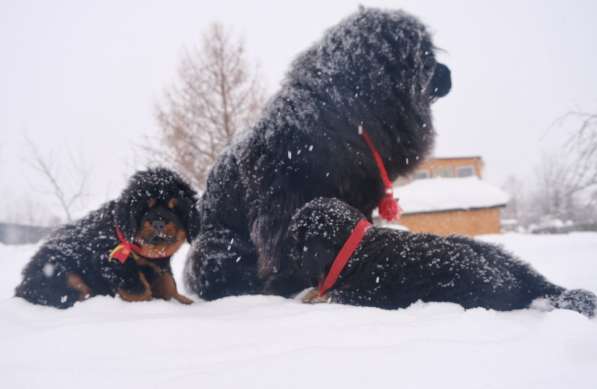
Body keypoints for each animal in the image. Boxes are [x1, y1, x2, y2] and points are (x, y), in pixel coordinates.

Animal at [14, 167, 199, 310]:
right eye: (145, 208)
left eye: (174, 209)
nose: (159, 223)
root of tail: (22, 286)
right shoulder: (113, 261)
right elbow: (140, 290)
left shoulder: (157, 265)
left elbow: (168, 283)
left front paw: (185, 302)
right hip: (66, 275)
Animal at [184, 6, 450, 300]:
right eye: (426, 55)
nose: (448, 73)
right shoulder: (282, 202)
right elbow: (281, 250)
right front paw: (285, 285)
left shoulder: (359, 196)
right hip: (219, 246)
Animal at [286, 199, 592, 316]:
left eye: (295, 236)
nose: (285, 253)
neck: (355, 250)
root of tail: (524, 280)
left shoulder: (369, 295)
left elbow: (329, 296)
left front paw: (307, 297)